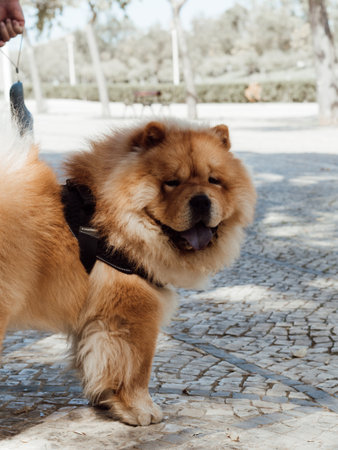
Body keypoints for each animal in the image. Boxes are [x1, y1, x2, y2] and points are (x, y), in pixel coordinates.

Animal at [0, 118, 254, 426]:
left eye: (214, 181)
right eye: (171, 182)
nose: (201, 200)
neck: (110, 221)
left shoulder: (94, 319)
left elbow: (94, 361)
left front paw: (103, 402)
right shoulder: (132, 313)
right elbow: (137, 367)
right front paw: (141, 411)